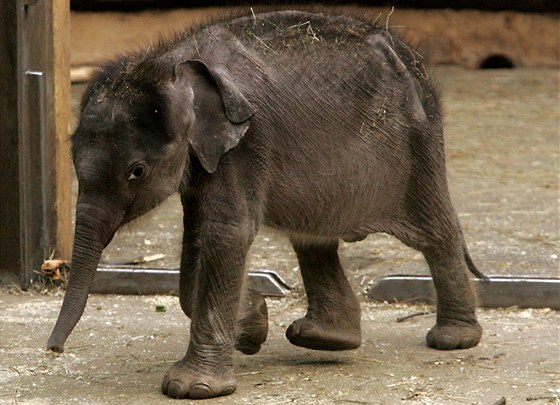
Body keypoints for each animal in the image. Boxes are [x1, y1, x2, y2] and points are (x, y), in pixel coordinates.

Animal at [48, 11, 484, 400]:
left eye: (136, 172)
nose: (54, 350)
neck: (169, 62)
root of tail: (410, 58)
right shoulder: (206, 157)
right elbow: (199, 236)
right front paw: (254, 323)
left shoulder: (246, 143)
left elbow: (226, 233)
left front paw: (193, 388)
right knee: (312, 238)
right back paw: (325, 338)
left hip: (419, 147)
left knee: (435, 233)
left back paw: (453, 339)